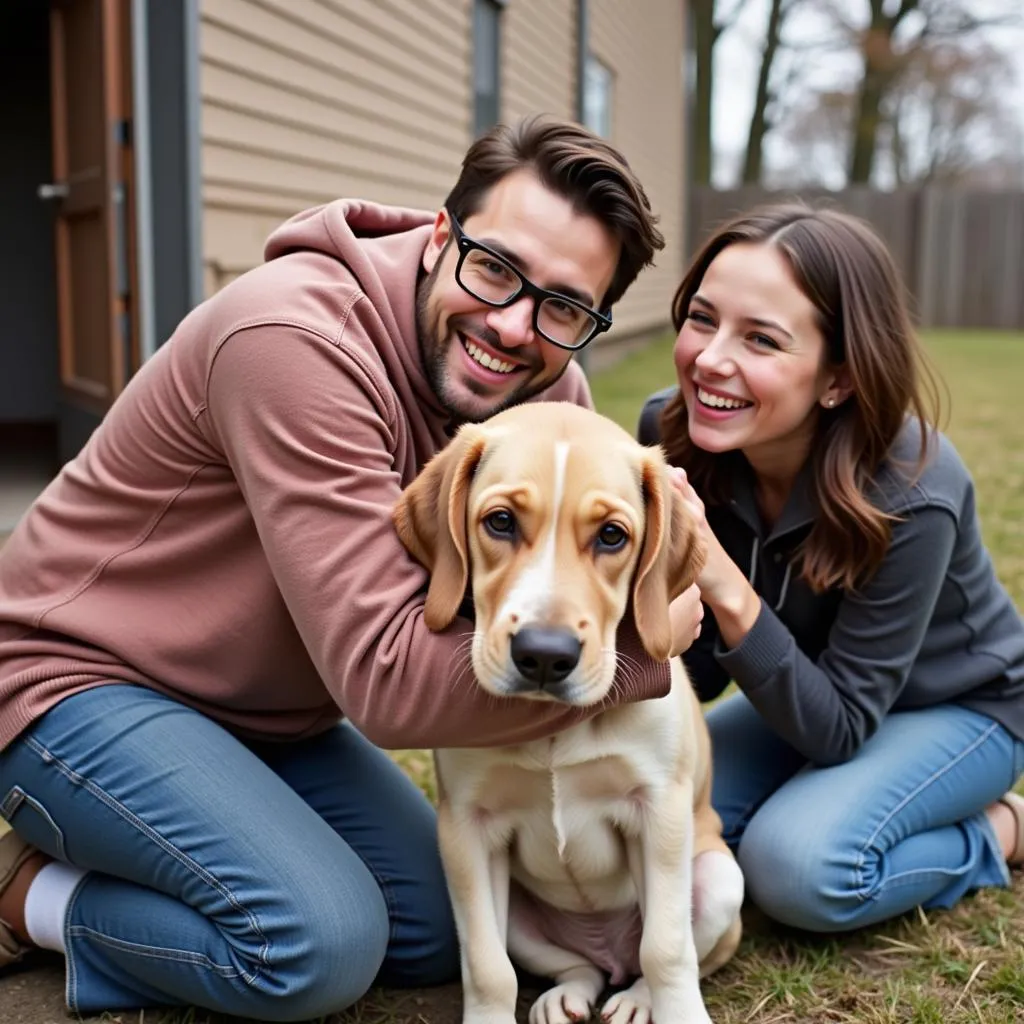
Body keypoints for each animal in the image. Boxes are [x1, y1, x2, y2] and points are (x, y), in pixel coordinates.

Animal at [393, 403, 745, 1019]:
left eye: (611, 536)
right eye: (501, 522)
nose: (543, 656)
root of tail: (606, 950)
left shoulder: (659, 811)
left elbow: (666, 949)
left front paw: (677, 1010)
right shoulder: (466, 827)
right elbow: (487, 967)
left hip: (720, 877)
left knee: (649, 959)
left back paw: (635, 999)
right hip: (522, 917)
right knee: (577, 967)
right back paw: (569, 995)